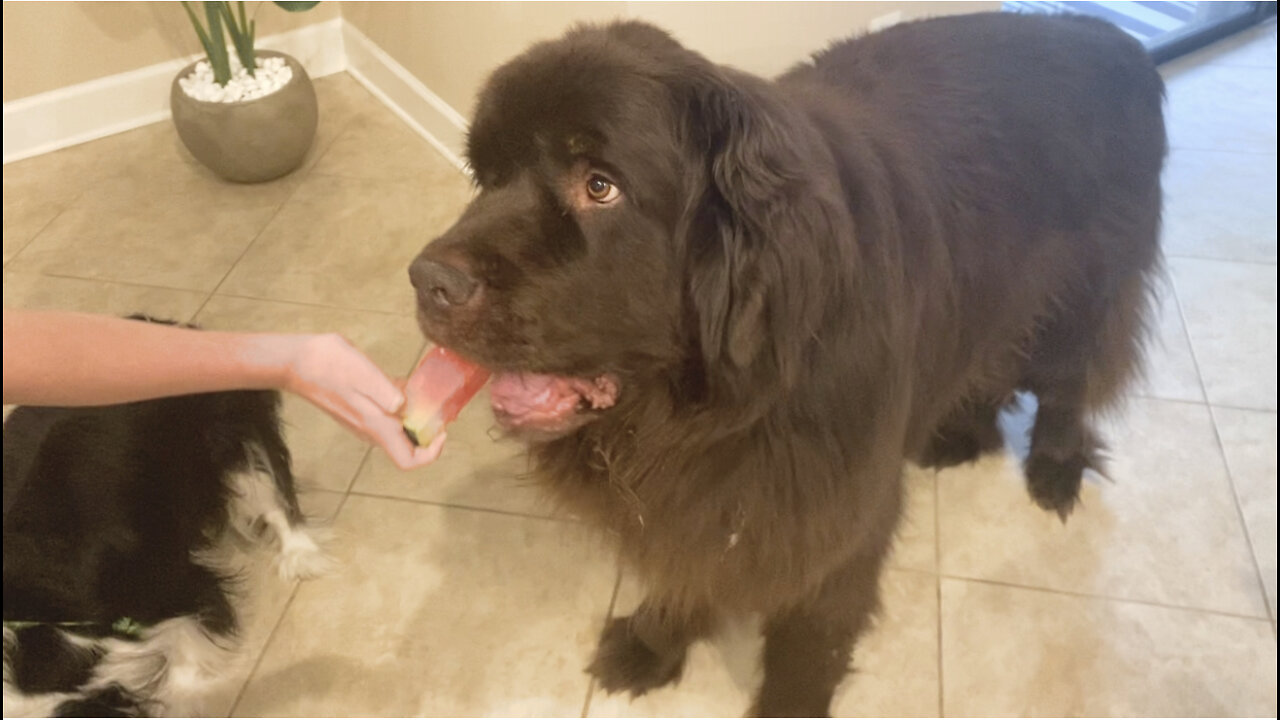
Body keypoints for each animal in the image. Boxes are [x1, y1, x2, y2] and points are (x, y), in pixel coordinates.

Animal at [407, 9, 1162, 712]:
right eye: (487, 175)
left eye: (599, 187)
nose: (427, 280)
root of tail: (1111, 36)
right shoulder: (703, 502)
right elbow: (687, 570)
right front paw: (652, 644)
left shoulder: (833, 520)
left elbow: (809, 638)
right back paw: (957, 432)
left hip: (1082, 298)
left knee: (1070, 384)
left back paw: (1054, 468)